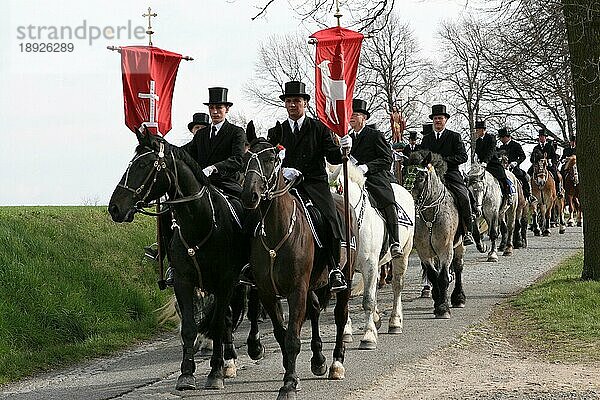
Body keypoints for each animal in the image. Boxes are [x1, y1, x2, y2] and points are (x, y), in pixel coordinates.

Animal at [108, 130, 255, 390]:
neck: (200, 222)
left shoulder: (225, 282)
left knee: (227, 318)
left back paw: (229, 362)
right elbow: (189, 327)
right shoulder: (183, 282)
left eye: (144, 164)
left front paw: (215, 373)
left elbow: (217, 325)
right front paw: (186, 374)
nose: (115, 208)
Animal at [328, 162, 418, 350]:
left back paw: (395, 322)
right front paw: (346, 332)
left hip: (403, 255)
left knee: (397, 286)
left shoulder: (369, 264)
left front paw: (368, 336)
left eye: (338, 190)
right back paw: (378, 319)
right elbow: (345, 300)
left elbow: (368, 300)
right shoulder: (346, 269)